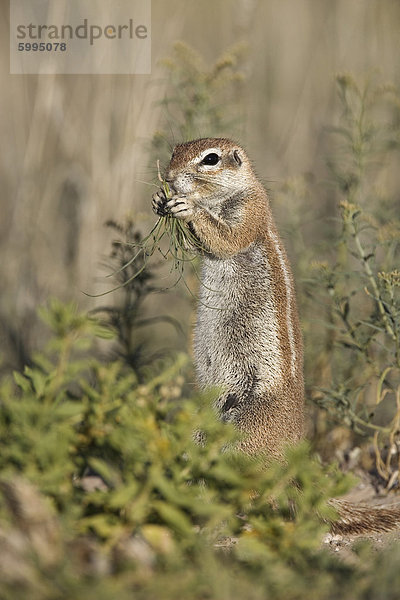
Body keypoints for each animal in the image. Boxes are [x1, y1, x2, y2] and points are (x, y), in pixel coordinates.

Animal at [152, 137, 400, 536]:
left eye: (210, 159)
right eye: (175, 150)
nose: (171, 177)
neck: (232, 191)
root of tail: (288, 461)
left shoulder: (251, 213)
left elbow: (225, 239)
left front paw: (186, 206)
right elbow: (202, 247)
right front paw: (160, 199)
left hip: (247, 432)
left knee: (252, 488)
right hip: (205, 426)